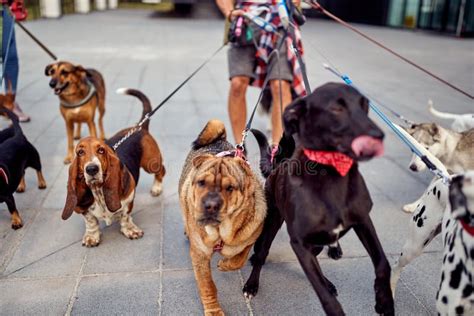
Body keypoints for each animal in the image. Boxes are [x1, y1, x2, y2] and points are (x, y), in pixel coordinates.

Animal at [61, 89, 165, 247]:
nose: (91, 169)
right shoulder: (84, 210)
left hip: (151, 163)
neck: (98, 191)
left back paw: (157, 188)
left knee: (161, 171)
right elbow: (91, 221)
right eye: (80, 152)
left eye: (101, 150)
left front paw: (130, 230)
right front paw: (92, 237)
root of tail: (139, 127)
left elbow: (125, 216)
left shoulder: (128, 199)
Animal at [179, 119, 266, 314]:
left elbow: (239, 259)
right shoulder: (200, 254)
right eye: (201, 183)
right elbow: (207, 286)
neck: (220, 233)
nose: (210, 205)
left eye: (230, 188)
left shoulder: (250, 237)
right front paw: (213, 311)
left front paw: (225, 264)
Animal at [243, 83, 394, 316]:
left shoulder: (363, 221)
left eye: (365, 105)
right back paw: (251, 284)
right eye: (336, 109)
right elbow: (325, 298)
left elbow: (383, 263)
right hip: (273, 221)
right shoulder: (299, 243)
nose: (378, 136)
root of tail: (279, 165)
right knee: (261, 253)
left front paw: (384, 301)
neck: (331, 173)